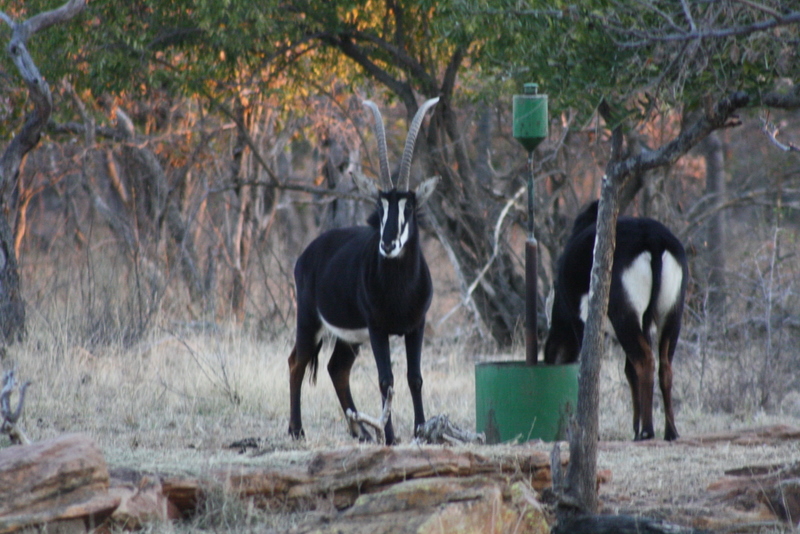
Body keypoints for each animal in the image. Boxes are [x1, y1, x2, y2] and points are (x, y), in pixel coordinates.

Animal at [288, 97, 439, 445]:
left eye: (409, 207)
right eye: (379, 207)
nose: (388, 243)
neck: (401, 289)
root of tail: (309, 252)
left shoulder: (416, 325)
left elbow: (414, 377)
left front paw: (420, 431)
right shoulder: (377, 328)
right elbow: (386, 380)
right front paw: (391, 436)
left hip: (349, 338)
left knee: (336, 368)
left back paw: (361, 431)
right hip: (310, 321)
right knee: (297, 362)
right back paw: (297, 430)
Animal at [544, 201, 688, 441]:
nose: (550, 359)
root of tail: (654, 239)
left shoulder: (580, 320)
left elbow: (590, 369)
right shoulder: (646, 324)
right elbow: (629, 371)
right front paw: (634, 427)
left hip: (624, 316)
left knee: (645, 361)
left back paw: (648, 431)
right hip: (671, 312)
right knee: (664, 366)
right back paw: (670, 431)